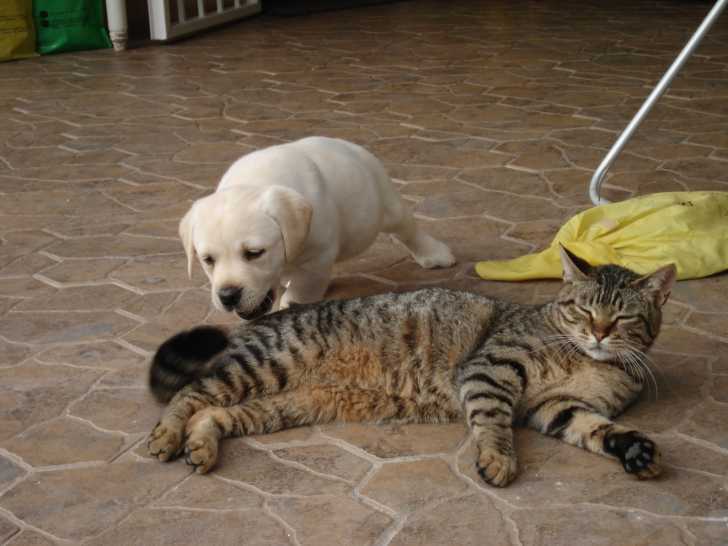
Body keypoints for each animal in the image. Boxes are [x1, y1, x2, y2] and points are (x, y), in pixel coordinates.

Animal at [147, 246, 676, 487]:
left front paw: (634, 451)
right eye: (584, 310)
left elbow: (596, 428)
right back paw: (167, 436)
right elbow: (492, 422)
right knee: (188, 394)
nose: (600, 333)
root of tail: (263, 318)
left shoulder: (555, 406)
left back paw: (200, 446)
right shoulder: (490, 369)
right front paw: (498, 458)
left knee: (213, 413)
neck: (588, 360)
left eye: (623, 317)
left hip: (283, 404)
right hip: (262, 366)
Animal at [179, 136, 456, 320]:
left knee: (407, 228)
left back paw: (434, 253)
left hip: (385, 205)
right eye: (207, 260)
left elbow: (303, 288)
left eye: (254, 253)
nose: (228, 295)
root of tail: (350, 146)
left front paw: (291, 302)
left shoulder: (317, 256)